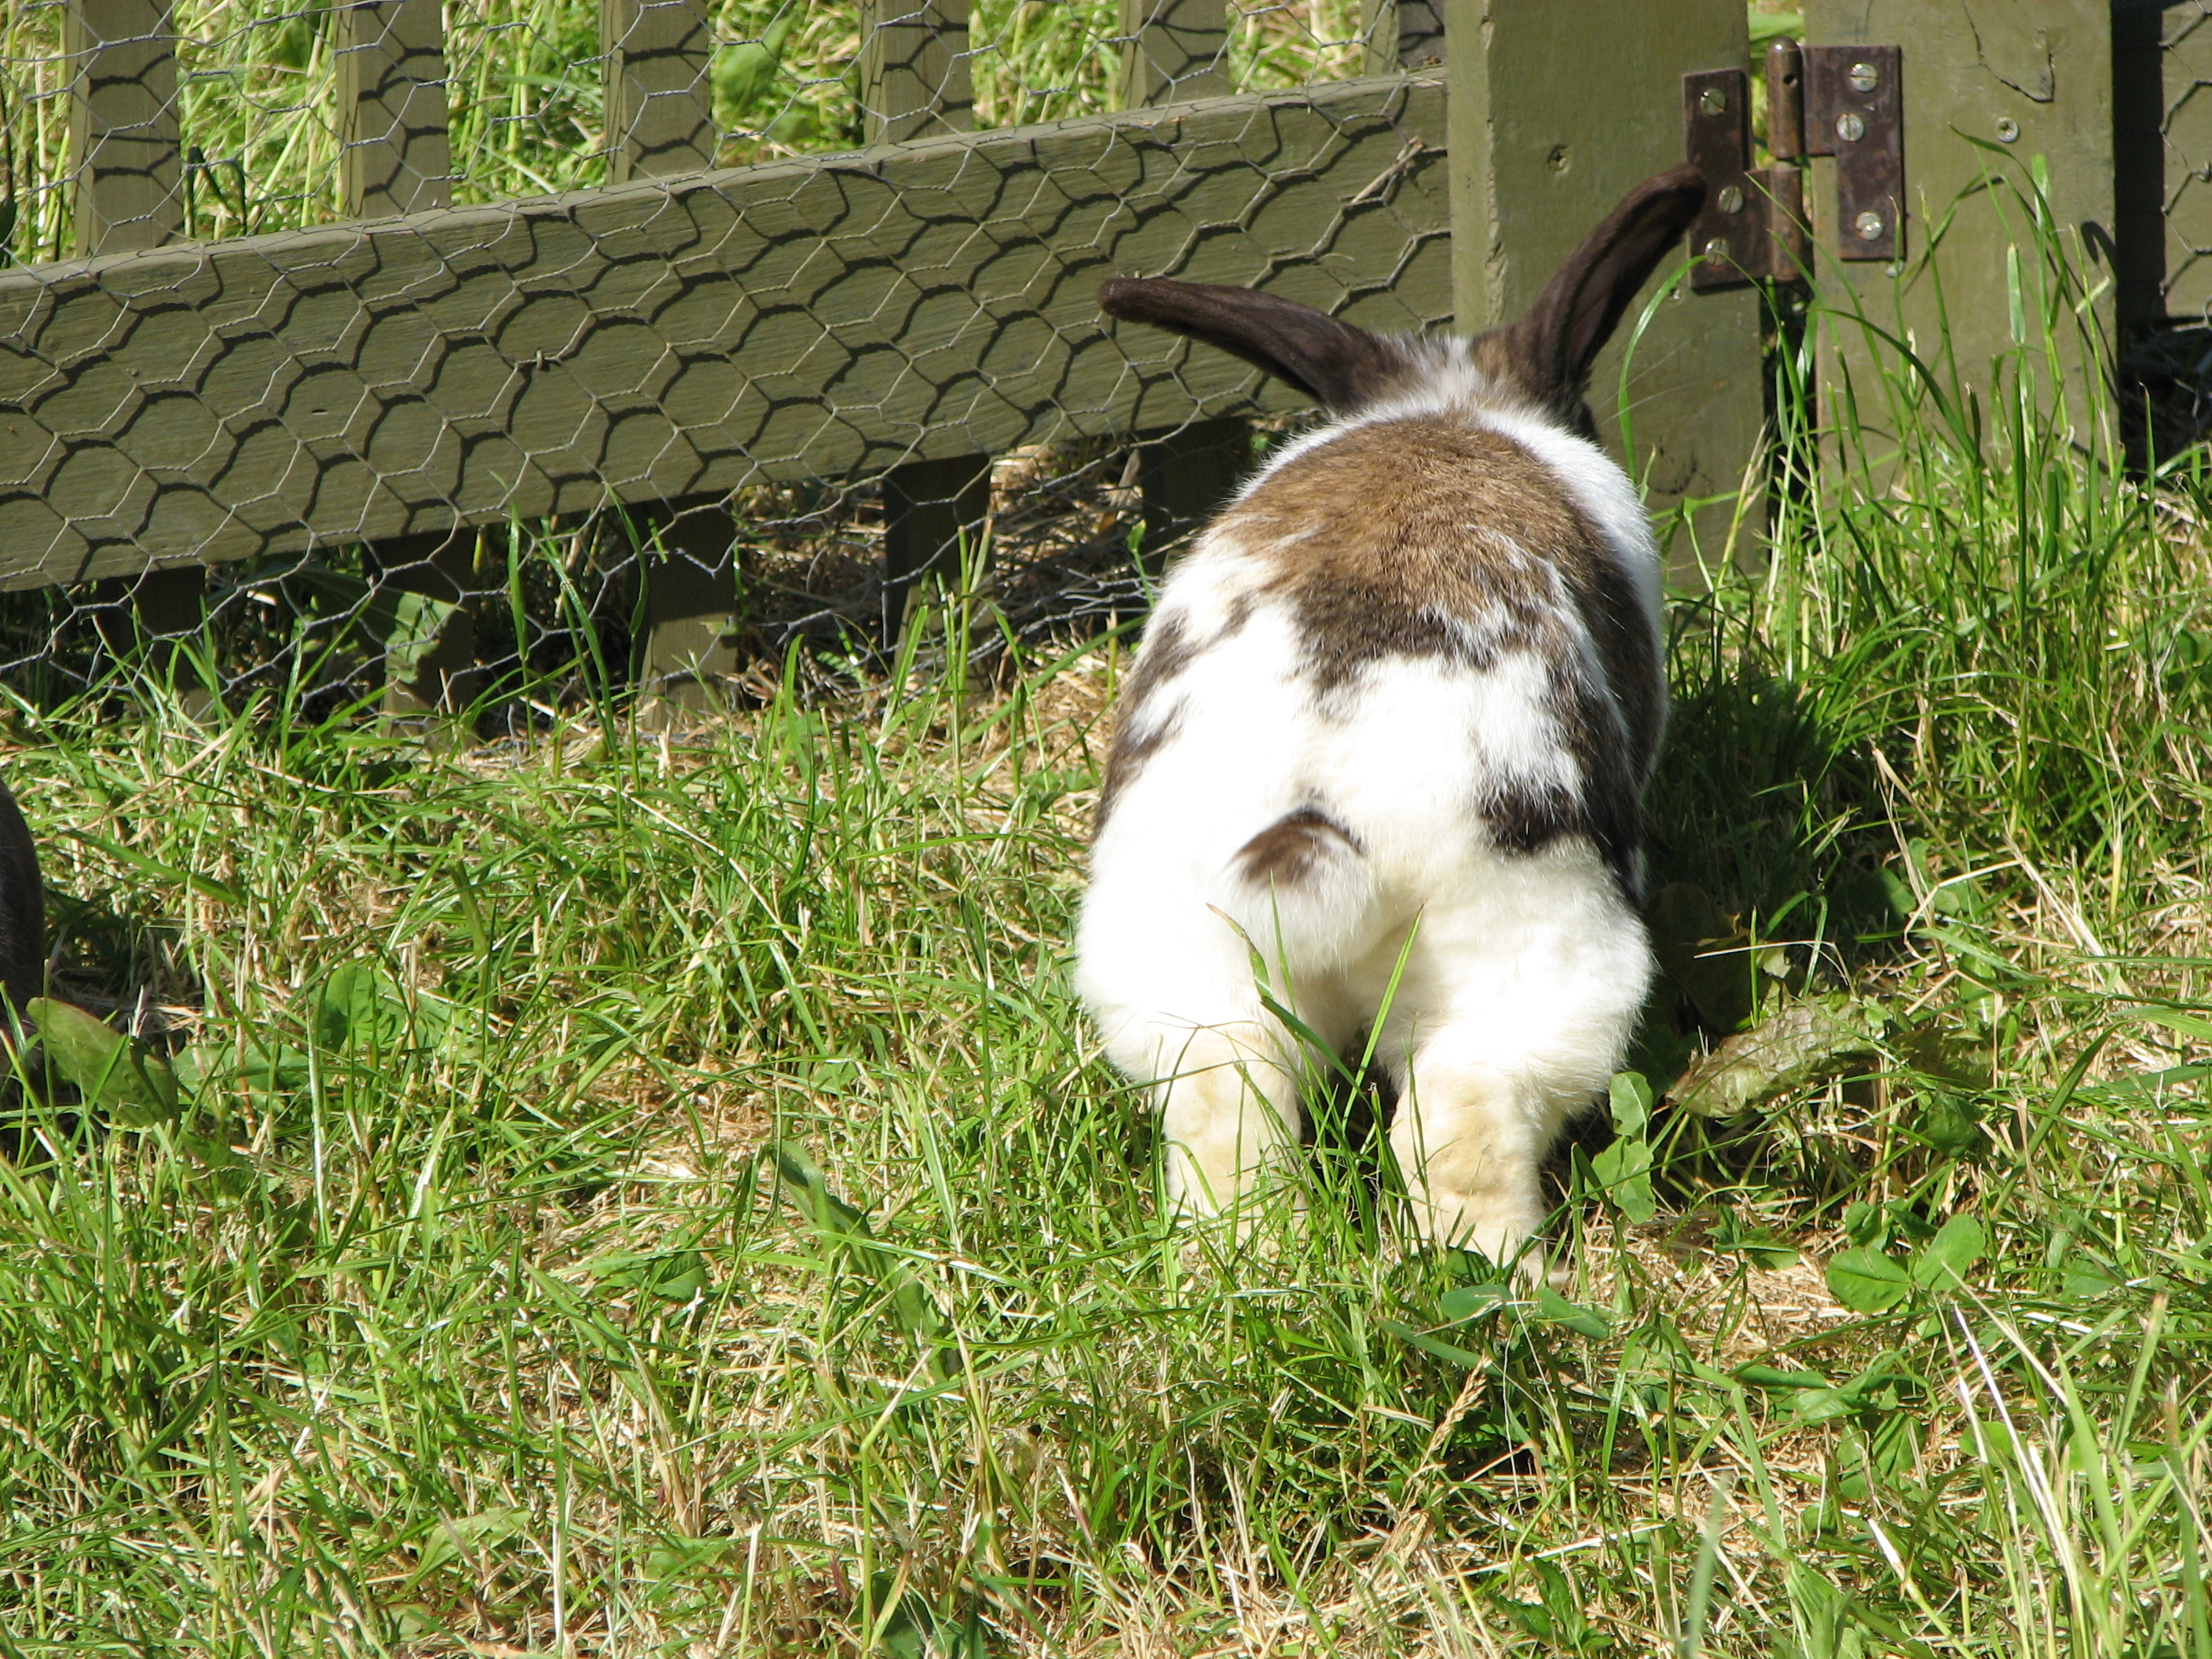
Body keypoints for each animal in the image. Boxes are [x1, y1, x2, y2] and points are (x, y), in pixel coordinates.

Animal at [1077, 164, 1705, 1275]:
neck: (1451, 409)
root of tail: (1315, 802)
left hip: (1186, 976)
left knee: (1229, 1126)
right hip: (1521, 971)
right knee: (1455, 1135)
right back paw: (1512, 1285)